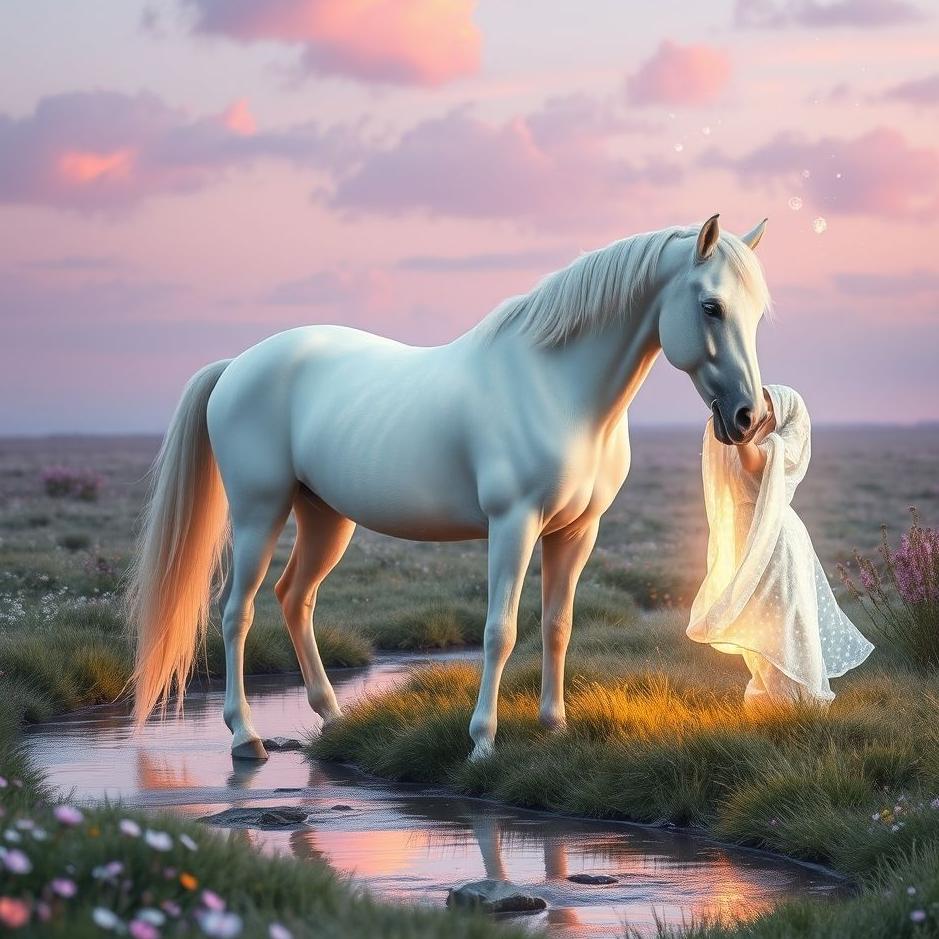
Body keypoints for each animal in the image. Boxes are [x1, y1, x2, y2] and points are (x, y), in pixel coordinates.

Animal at [127, 214, 771, 762]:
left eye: (759, 315)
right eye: (711, 307)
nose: (748, 418)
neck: (559, 391)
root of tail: (237, 366)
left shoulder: (577, 532)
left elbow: (557, 626)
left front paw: (554, 725)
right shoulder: (513, 525)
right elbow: (500, 631)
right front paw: (483, 741)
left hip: (326, 518)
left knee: (295, 597)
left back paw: (332, 715)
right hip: (260, 512)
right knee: (237, 612)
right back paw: (245, 736)